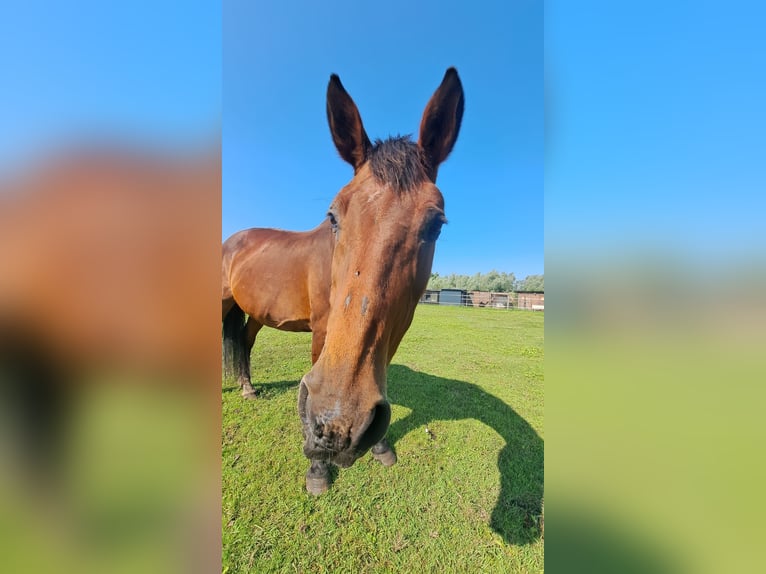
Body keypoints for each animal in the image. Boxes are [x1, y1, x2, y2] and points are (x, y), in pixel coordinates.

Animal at [221, 68, 464, 494]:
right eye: (333, 216)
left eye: (436, 225)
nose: (338, 427)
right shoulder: (322, 330)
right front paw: (317, 466)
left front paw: (380, 446)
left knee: (245, 344)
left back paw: (248, 387)